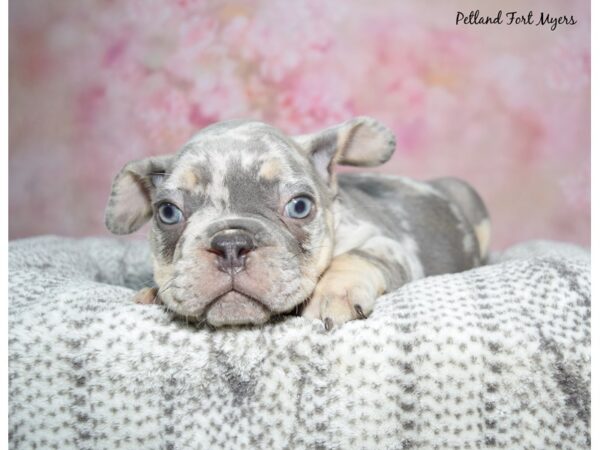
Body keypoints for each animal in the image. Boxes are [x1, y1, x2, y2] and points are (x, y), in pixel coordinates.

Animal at [105, 118, 490, 328]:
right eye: (168, 212)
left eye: (300, 206)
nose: (230, 243)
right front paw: (153, 294)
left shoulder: (387, 244)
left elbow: (354, 257)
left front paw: (332, 292)